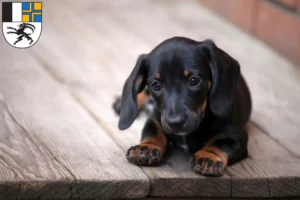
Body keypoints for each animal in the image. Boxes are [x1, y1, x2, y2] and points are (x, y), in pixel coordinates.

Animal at [113, 36, 252, 176]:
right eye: (156, 85)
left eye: (194, 80)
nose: (175, 123)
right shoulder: (155, 121)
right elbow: (152, 133)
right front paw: (146, 147)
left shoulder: (236, 135)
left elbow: (220, 143)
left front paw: (208, 156)